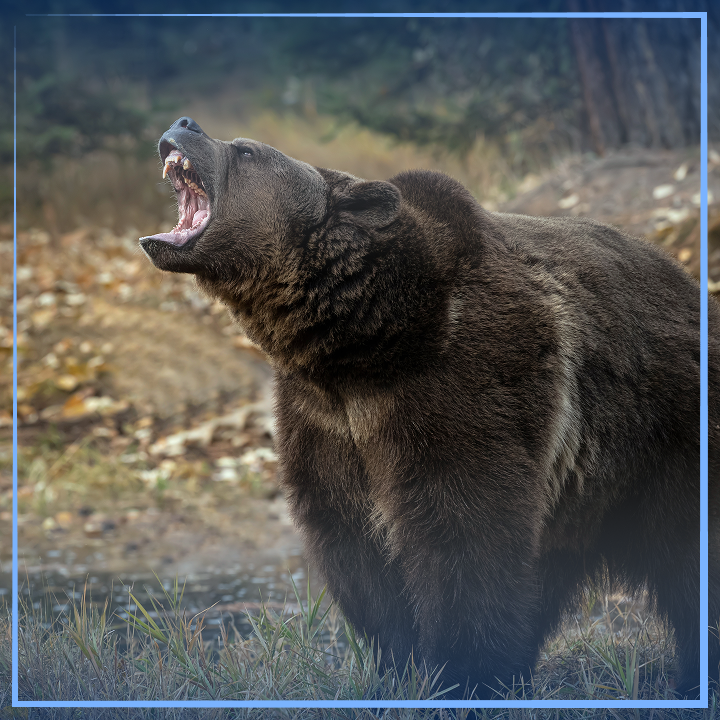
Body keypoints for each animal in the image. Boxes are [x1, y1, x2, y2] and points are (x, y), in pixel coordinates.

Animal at [140, 116, 719, 700]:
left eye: (245, 150)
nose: (185, 123)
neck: (363, 345)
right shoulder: (325, 421)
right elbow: (355, 545)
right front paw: (402, 664)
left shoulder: (462, 387)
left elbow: (464, 534)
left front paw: (464, 672)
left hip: (665, 437)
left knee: (689, 560)